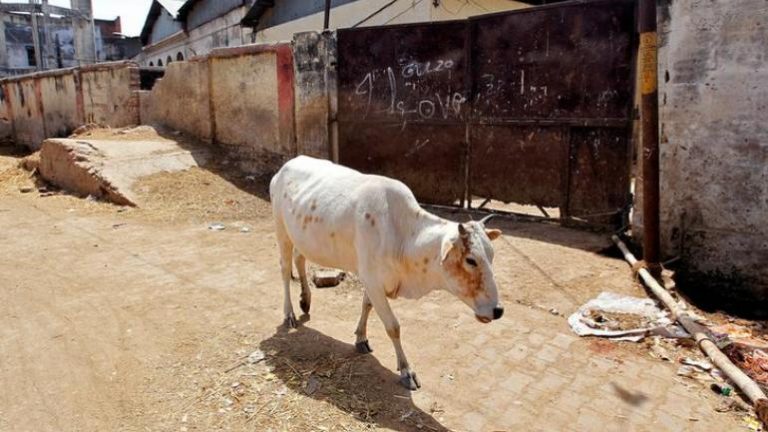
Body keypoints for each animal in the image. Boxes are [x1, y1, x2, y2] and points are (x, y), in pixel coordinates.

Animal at [269, 156, 504, 390]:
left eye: (492, 255)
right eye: (471, 260)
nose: (498, 310)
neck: (402, 235)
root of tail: (286, 166)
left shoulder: (372, 280)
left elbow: (366, 305)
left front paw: (361, 339)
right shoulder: (372, 280)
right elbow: (393, 326)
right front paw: (406, 371)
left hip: (301, 237)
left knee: (299, 258)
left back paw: (305, 300)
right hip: (281, 231)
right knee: (284, 270)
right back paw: (289, 314)